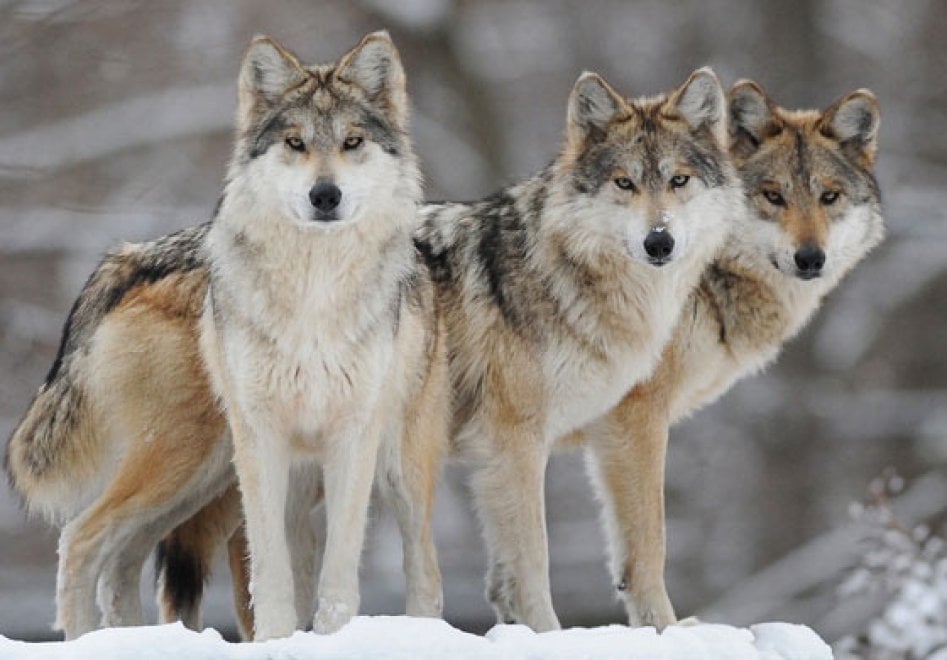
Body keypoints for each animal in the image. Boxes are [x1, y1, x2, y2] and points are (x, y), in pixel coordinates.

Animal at [4, 31, 449, 641]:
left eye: (352, 142)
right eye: (295, 143)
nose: (325, 195)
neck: (314, 291)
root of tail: (129, 256)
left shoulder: (351, 438)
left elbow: (338, 577)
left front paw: (327, 638)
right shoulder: (261, 442)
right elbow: (270, 574)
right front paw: (279, 640)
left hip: (385, 474)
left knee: (424, 571)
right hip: (187, 466)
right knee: (81, 539)